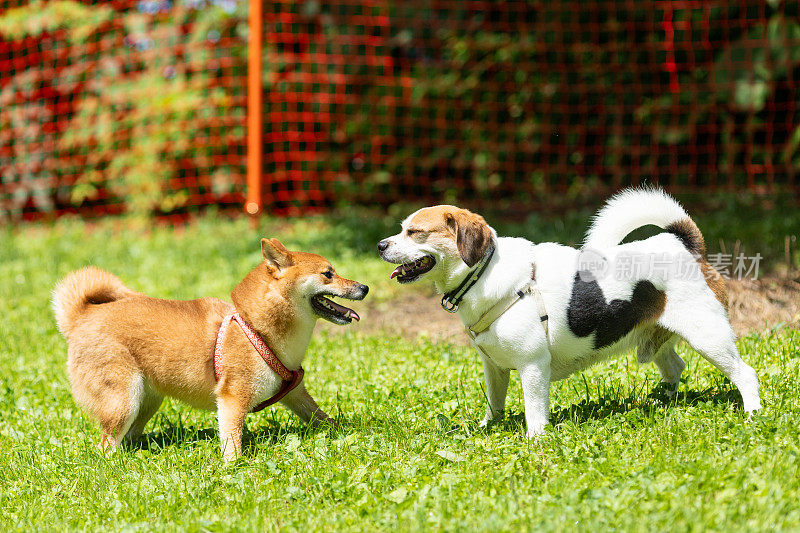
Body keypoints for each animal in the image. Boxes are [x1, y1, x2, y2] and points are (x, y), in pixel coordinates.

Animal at [376, 187, 764, 436]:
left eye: (415, 233)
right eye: (400, 230)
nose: (380, 245)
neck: (483, 273)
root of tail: (683, 242)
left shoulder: (533, 367)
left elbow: (534, 412)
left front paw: (535, 441)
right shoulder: (494, 368)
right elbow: (494, 404)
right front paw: (487, 429)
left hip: (710, 336)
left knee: (746, 374)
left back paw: (753, 414)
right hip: (657, 338)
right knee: (675, 367)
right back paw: (664, 404)